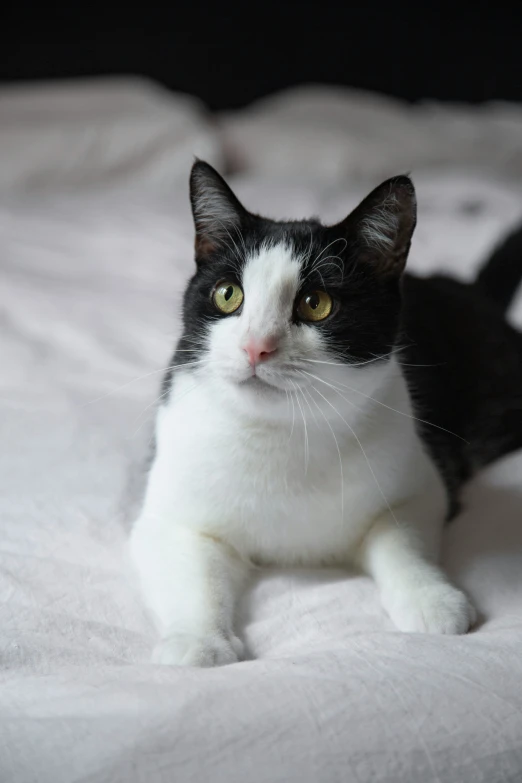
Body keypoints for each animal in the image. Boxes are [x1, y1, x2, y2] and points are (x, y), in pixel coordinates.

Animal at [128, 161, 520, 668]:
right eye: (227, 295)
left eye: (316, 304)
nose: (256, 346)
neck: (280, 433)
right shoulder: (170, 515)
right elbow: (192, 571)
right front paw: (200, 641)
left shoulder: (420, 481)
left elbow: (400, 539)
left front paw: (432, 600)